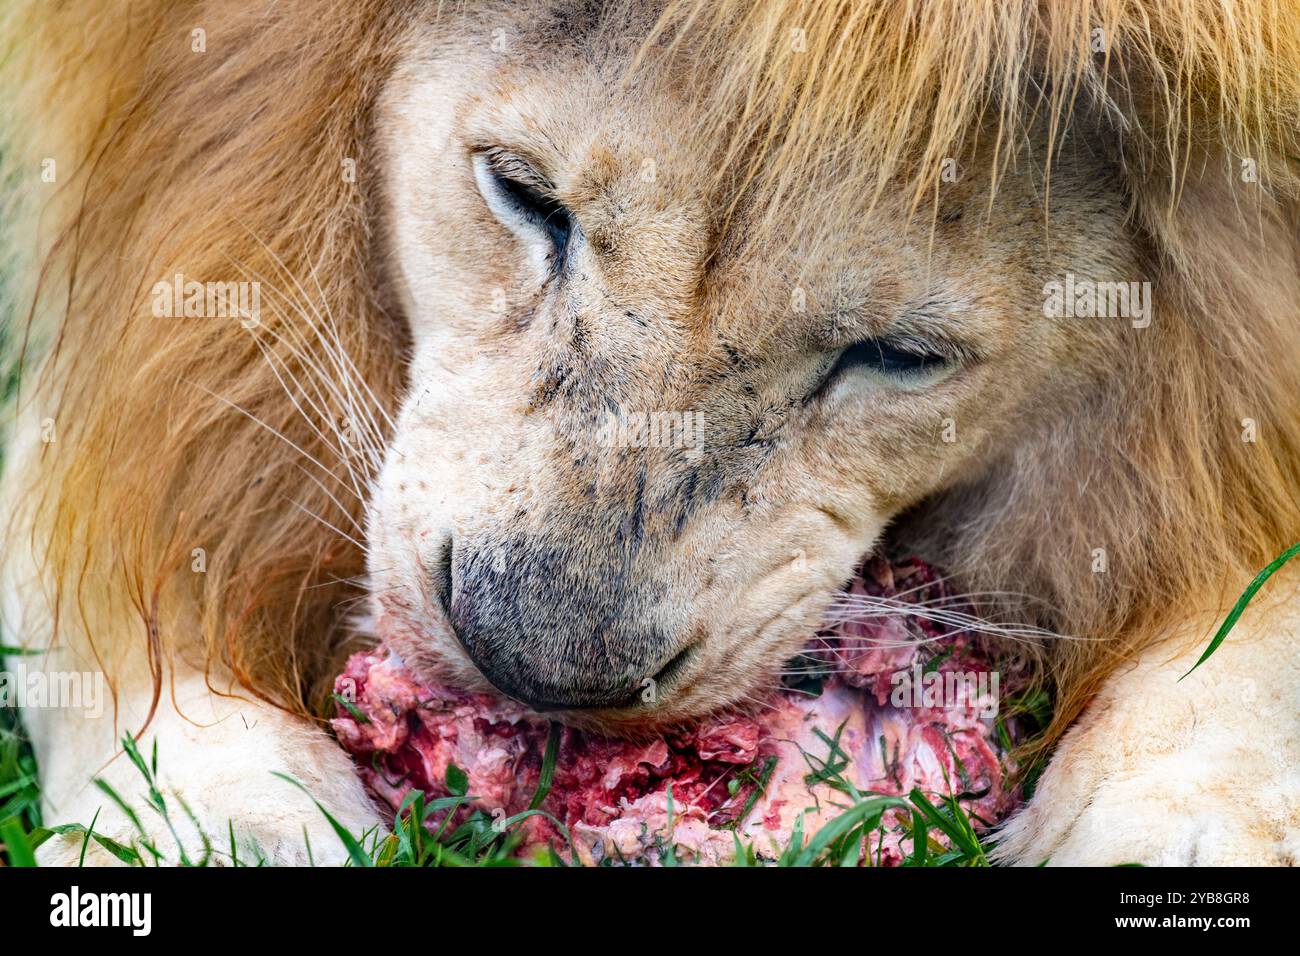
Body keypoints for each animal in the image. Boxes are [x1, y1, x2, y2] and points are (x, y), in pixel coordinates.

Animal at [0, 0, 1294, 868]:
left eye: (899, 355)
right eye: (521, 193)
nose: (536, 671)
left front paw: (1159, 822)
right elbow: (101, 572)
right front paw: (217, 814)